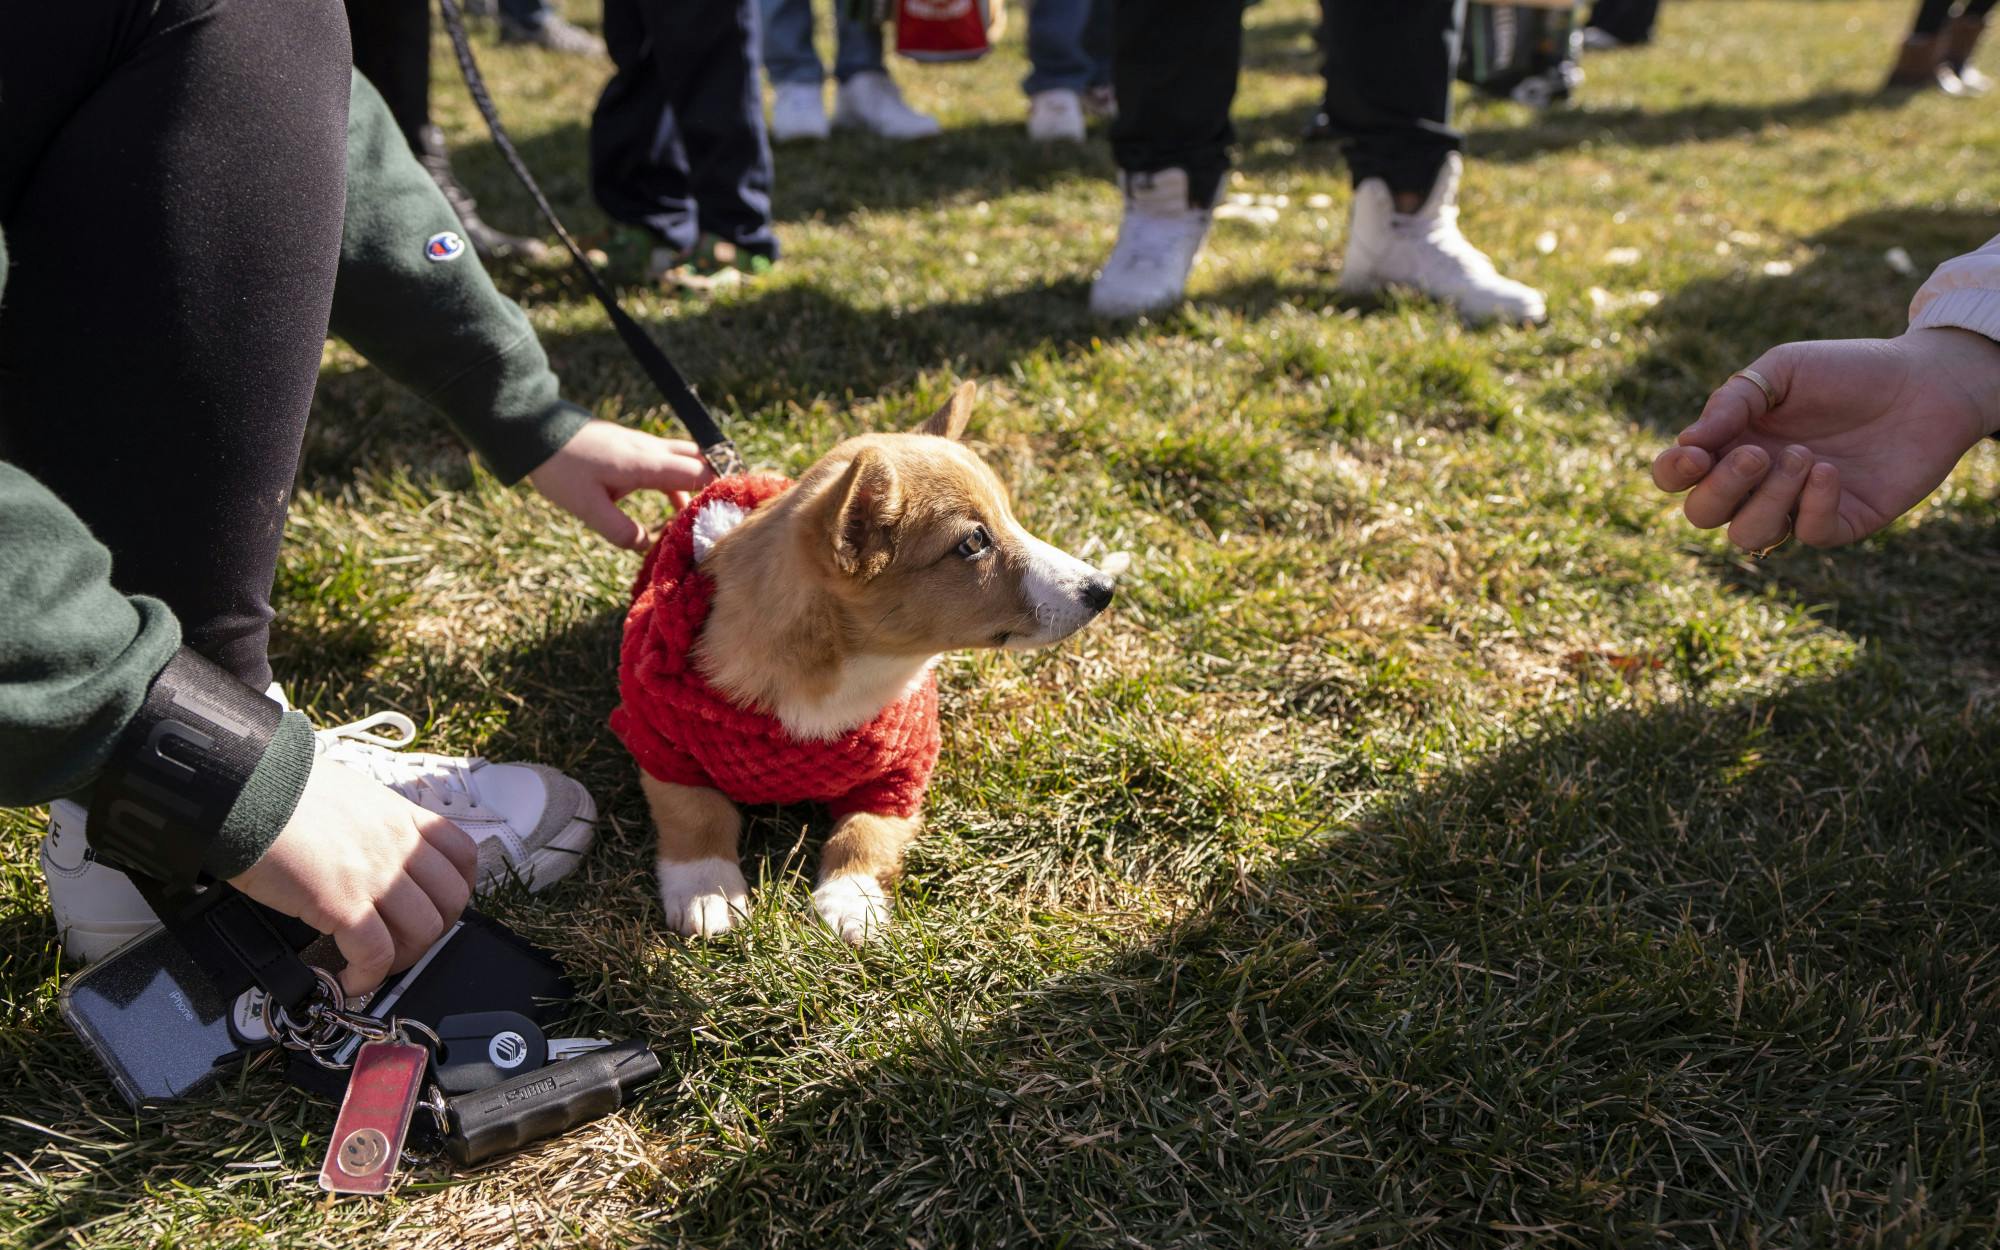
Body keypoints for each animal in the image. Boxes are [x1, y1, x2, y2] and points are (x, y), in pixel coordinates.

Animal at [612, 386, 1112, 940]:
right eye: (973, 542)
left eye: (1011, 519)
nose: (1104, 590)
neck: (844, 669)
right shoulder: (661, 744)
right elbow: (697, 815)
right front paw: (709, 892)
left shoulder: (901, 776)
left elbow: (863, 834)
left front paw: (849, 903)